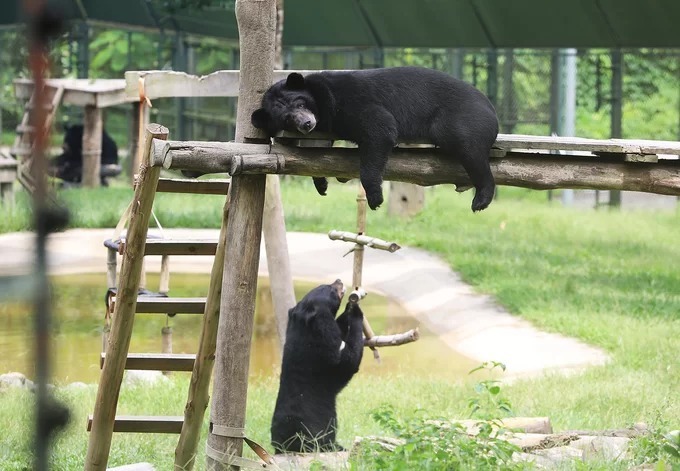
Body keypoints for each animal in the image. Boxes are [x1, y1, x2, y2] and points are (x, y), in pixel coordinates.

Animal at [252, 66, 496, 212]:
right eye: (286, 119)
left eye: (301, 104)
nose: (306, 124)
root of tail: (491, 109)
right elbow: (317, 151)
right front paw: (321, 184)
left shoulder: (350, 103)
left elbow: (380, 129)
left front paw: (375, 199)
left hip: (463, 120)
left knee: (470, 149)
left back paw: (481, 200)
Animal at [272, 280, 366, 454]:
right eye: (330, 289)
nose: (339, 280)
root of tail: (282, 447)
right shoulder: (327, 354)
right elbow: (349, 361)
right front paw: (355, 311)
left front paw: (348, 310)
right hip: (314, 436)